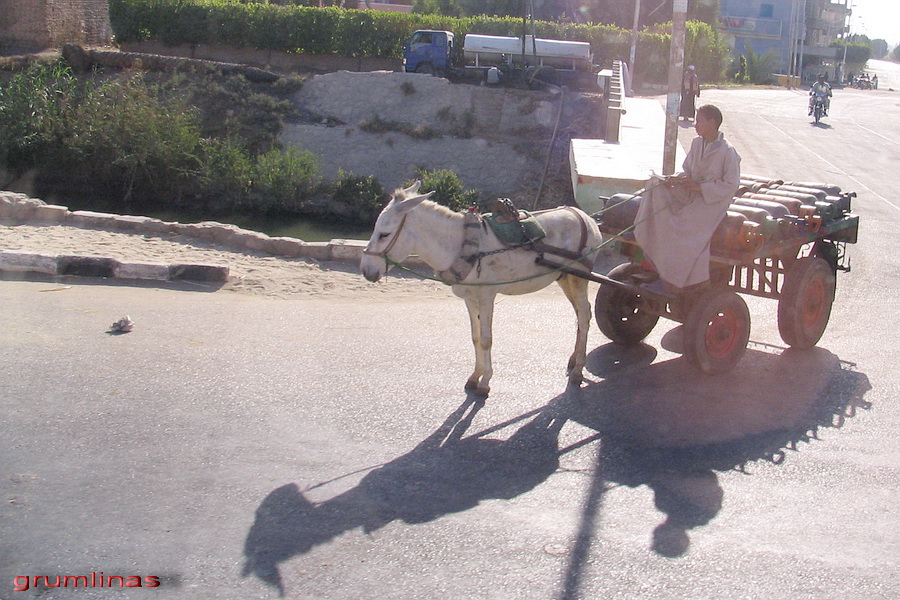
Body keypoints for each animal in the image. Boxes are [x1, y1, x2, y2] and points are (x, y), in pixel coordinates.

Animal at [360, 181, 603, 397]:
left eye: (384, 234)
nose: (366, 271)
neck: (460, 243)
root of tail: (584, 216)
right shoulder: (470, 298)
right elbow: (475, 337)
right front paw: (474, 377)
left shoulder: (487, 296)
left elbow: (487, 339)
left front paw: (485, 383)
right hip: (564, 278)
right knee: (579, 316)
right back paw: (573, 360)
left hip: (578, 277)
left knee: (584, 315)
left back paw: (578, 370)